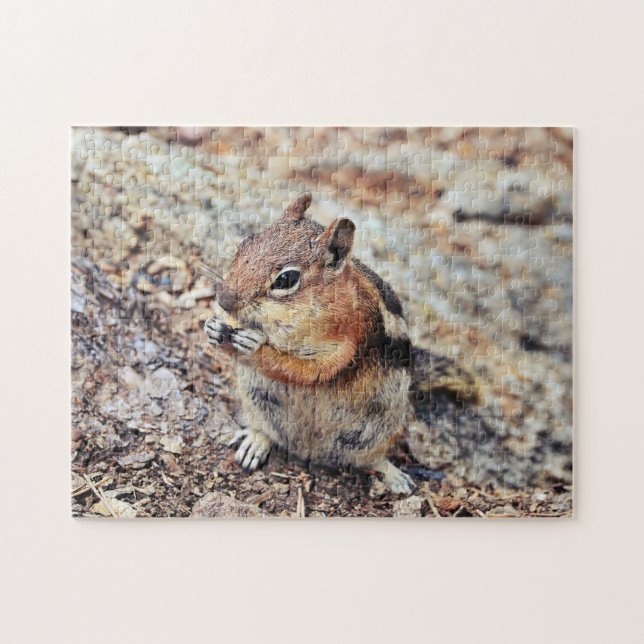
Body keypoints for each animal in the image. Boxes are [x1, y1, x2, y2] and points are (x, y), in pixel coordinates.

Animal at [204, 193, 479, 494]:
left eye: (286, 279)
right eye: (246, 242)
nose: (223, 300)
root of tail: (309, 451)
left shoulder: (349, 341)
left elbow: (309, 370)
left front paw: (254, 344)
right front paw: (213, 328)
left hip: (377, 430)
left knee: (371, 458)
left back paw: (395, 475)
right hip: (257, 402)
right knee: (267, 429)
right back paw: (255, 441)